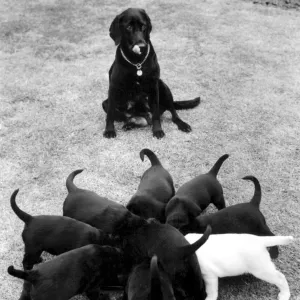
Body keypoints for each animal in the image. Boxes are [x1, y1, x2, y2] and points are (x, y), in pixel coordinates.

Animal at [102, 7, 200, 138]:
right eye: (128, 27)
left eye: (143, 26)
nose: (142, 46)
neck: (137, 62)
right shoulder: (113, 88)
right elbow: (110, 114)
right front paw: (109, 130)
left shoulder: (154, 86)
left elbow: (156, 115)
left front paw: (157, 130)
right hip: (105, 103)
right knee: (132, 117)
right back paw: (130, 123)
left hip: (163, 87)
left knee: (171, 113)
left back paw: (182, 124)